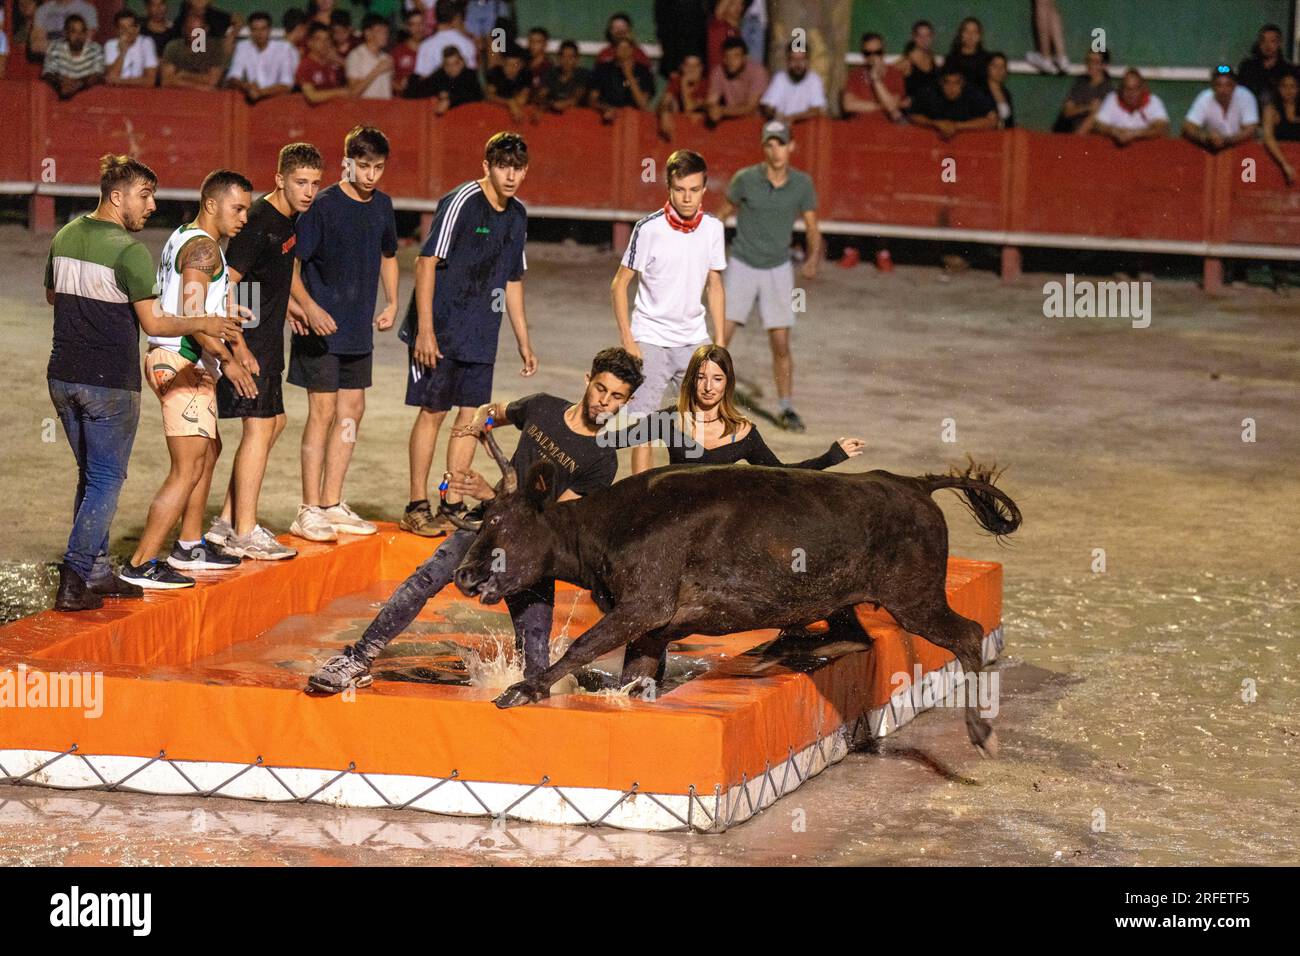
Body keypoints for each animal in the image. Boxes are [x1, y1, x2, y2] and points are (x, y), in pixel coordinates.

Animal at [452, 452, 1019, 759]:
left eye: (496, 520)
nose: (463, 574)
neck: (602, 530)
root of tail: (913, 483)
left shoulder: (643, 606)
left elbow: (581, 647)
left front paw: (524, 689)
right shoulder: (651, 629)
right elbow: (635, 681)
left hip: (915, 598)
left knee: (969, 634)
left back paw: (981, 732)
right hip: (845, 595)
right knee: (853, 634)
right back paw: (782, 651)